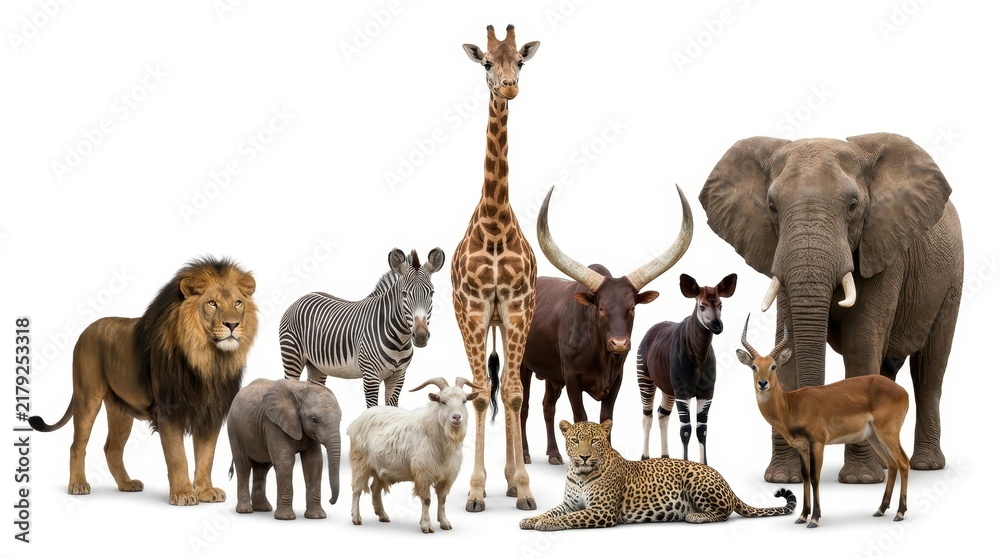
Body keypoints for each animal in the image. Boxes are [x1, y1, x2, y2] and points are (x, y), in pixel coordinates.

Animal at [29, 257, 259, 506]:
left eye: (237, 303)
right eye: (212, 303)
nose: (233, 325)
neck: (207, 360)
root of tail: (86, 331)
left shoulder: (210, 412)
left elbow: (207, 456)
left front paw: (206, 491)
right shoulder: (168, 411)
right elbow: (178, 456)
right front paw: (183, 493)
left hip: (120, 411)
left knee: (112, 449)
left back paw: (126, 484)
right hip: (87, 397)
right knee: (77, 445)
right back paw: (78, 484)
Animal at [227, 378, 342, 519]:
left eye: (340, 419)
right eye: (314, 420)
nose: (330, 501)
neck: (302, 388)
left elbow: (314, 462)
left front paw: (317, 516)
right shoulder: (273, 423)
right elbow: (285, 461)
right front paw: (286, 518)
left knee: (262, 468)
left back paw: (263, 509)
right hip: (234, 429)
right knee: (243, 465)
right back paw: (245, 510)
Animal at [279, 248, 445, 408]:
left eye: (431, 293)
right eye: (404, 294)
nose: (421, 336)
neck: (400, 340)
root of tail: (302, 297)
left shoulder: (398, 377)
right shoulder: (370, 377)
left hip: (316, 365)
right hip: (291, 355)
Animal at [699, 132, 963, 484]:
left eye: (853, 207)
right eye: (771, 207)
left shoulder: (884, 247)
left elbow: (860, 342)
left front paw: (860, 480)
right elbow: (791, 341)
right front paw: (783, 478)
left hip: (950, 281)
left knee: (929, 370)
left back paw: (926, 465)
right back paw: (886, 463)